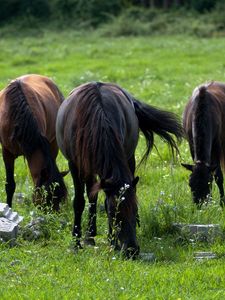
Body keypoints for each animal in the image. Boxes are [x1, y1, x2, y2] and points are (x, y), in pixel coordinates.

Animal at [55, 81, 183, 258]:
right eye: (112, 213)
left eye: (135, 209)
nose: (132, 250)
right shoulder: (74, 164)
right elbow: (79, 202)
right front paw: (76, 243)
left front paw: (112, 242)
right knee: (91, 195)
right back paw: (89, 237)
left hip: (128, 158)